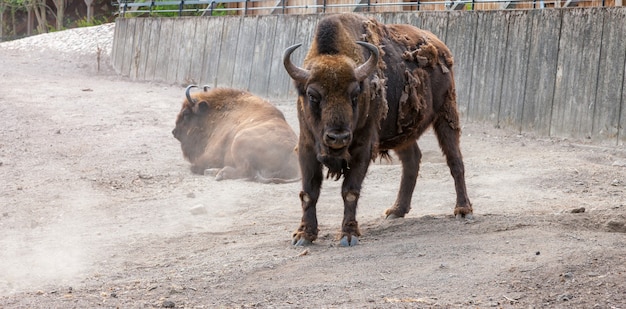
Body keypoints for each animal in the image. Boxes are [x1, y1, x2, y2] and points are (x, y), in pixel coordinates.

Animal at [282, 13, 468, 247]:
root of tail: (441, 47)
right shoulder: (307, 147)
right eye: (313, 95)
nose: (338, 137)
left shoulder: (362, 149)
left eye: (355, 94)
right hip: (403, 133)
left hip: (446, 114)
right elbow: (309, 192)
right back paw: (396, 211)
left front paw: (348, 235)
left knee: (455, 161)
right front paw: (304, 236)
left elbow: (350, 191)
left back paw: (463, 210)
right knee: (412, 160)